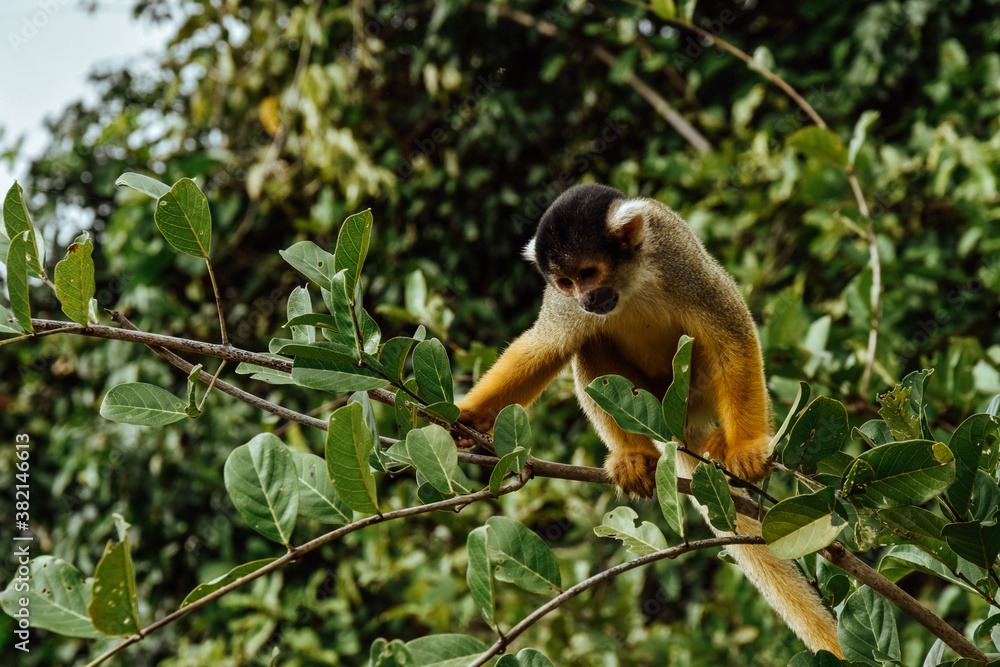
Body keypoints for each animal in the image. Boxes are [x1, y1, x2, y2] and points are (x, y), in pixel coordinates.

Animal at [455, 183, 843, 657]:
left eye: (587, 273)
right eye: (565, 282)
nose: (585, 298)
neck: (629, 279)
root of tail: (677, 428)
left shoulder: (679, 260)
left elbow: (731, 336)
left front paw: (747, 447)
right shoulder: (563, 306)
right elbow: (546, 347)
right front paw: (471, 414)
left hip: (689, 395)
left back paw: (720, 446)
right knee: (589, 345)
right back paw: (634, 456)